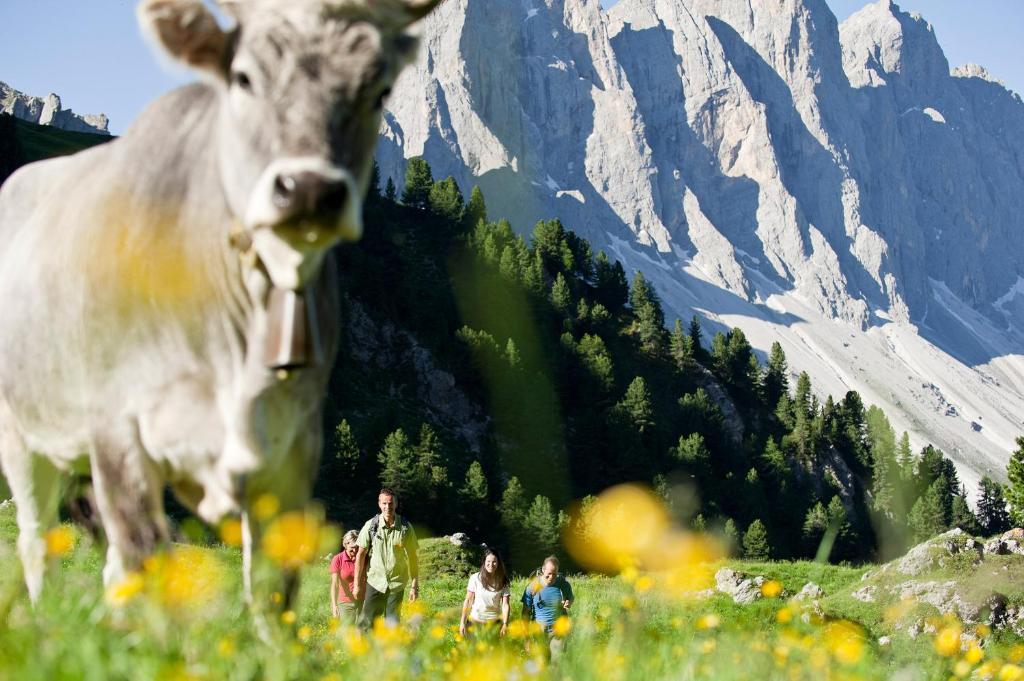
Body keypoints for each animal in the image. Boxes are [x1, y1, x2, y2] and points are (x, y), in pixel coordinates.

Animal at [0, 0, 436, 606]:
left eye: (379, 89)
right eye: (244, 77)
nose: (308, 190)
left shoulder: (294, 446)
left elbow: (273, 589)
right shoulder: (117, 428)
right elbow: (142, 560)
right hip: (21, 431)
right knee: (38, 539)